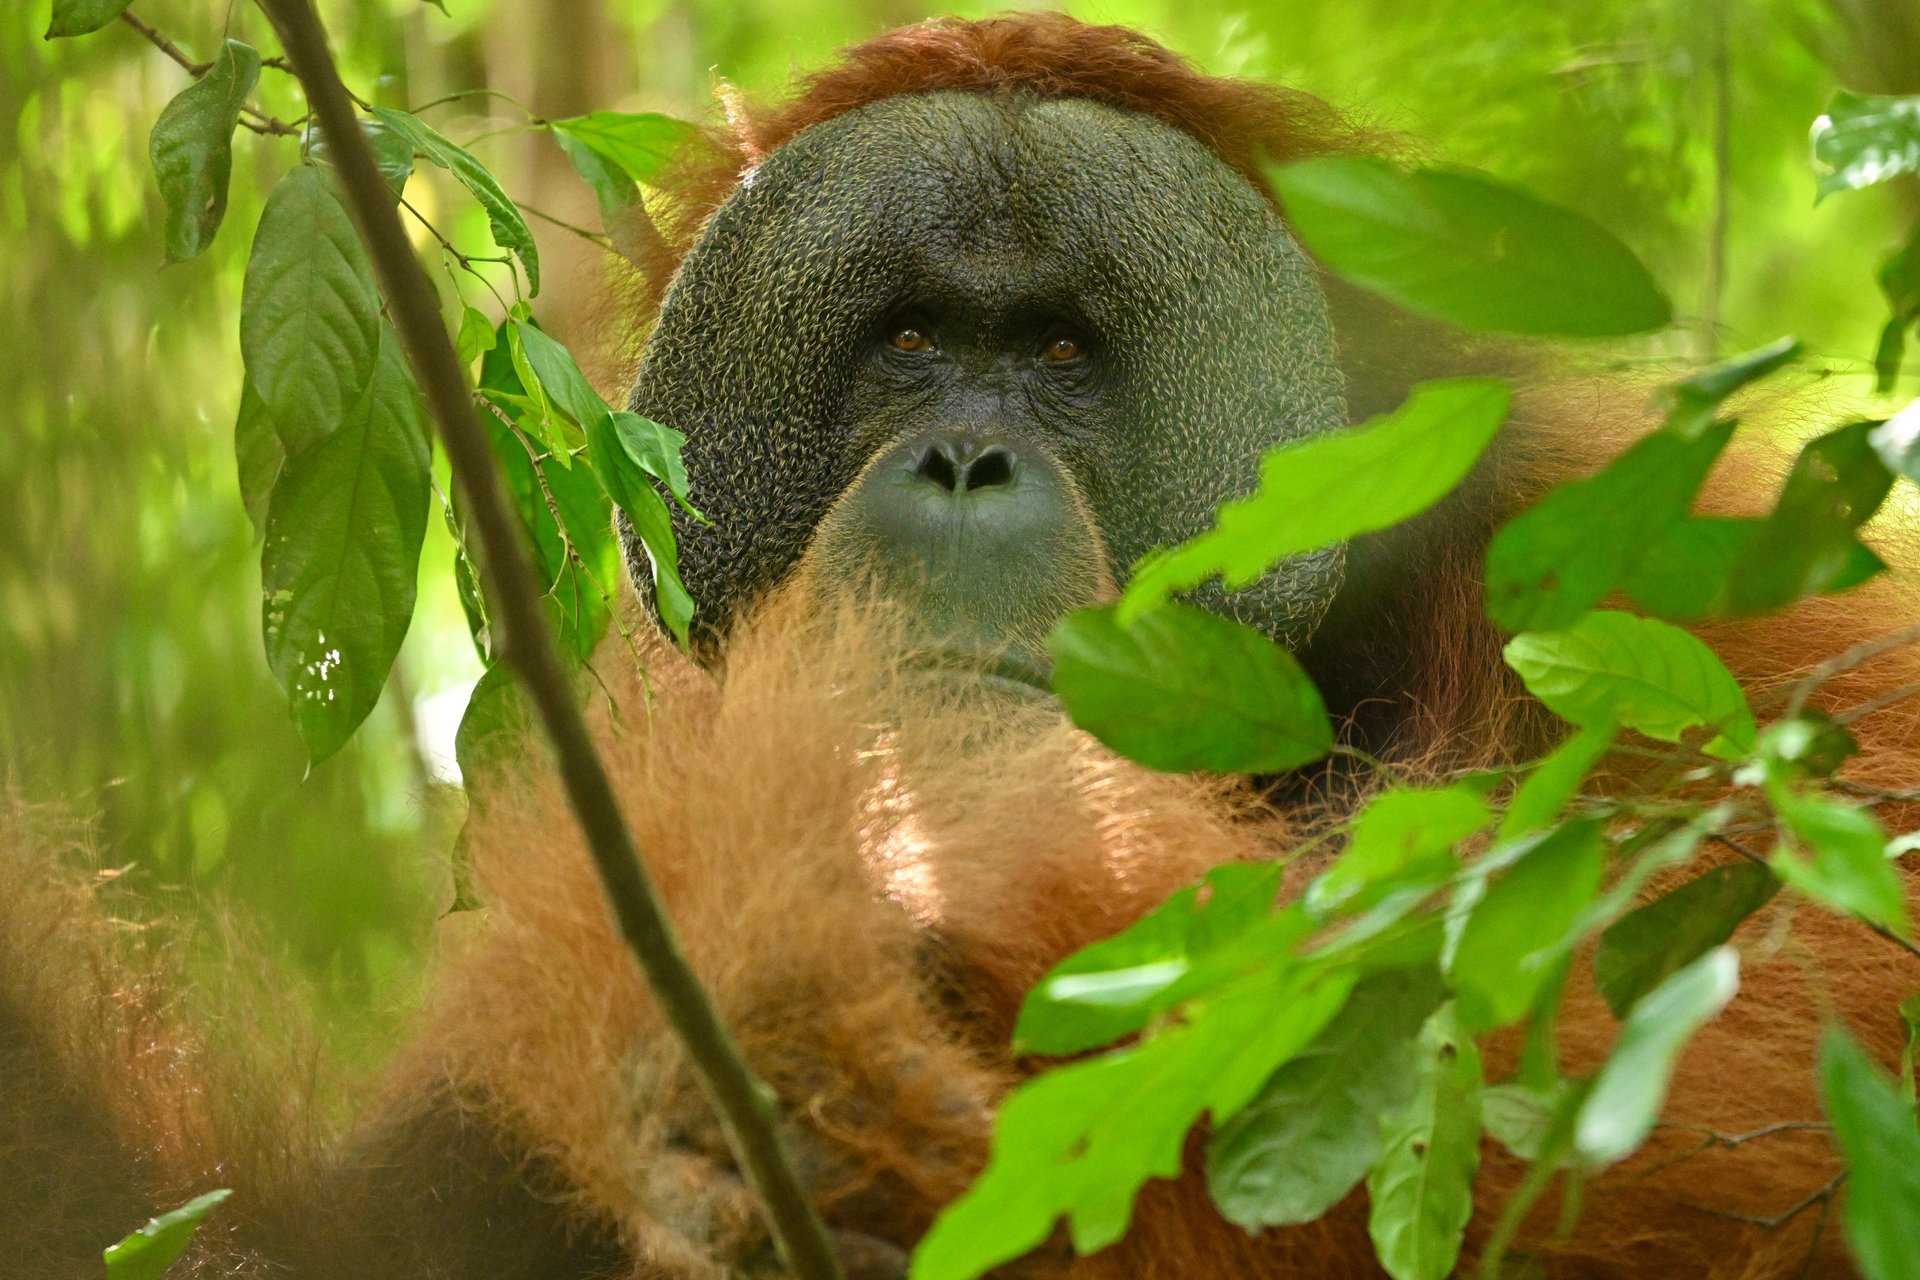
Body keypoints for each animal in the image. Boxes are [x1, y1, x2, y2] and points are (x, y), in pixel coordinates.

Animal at [3, 13, 1916, 1280]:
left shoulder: (1653, 590)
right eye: (915, 341)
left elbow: (1774, 1037)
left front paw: (904, 895)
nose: (967, 463)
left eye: (1063, 354)